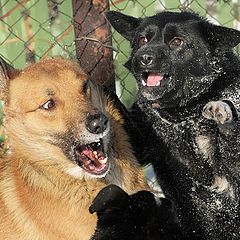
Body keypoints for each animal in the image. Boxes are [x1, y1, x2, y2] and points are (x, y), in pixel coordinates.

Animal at [107, 10, 240, 238]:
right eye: (143, 39)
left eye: (176, 42)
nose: (143, 58)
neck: (186, 114)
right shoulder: (139, 147)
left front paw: (224, 111)